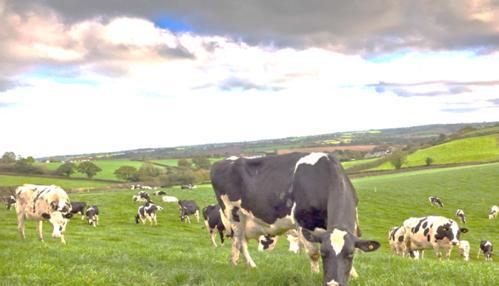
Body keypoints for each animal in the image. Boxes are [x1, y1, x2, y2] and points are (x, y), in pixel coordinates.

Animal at [209, 152, 380, 286]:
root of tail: (221, 161)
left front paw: (354, 275)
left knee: (237, 242)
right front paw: (314, 275)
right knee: (240, 242)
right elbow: (313, 253)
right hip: (233, 214)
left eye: (350, 255)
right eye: (324, 254)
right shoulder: (302, 223)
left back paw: (238, 264)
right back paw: (249, 265)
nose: (333, 284)